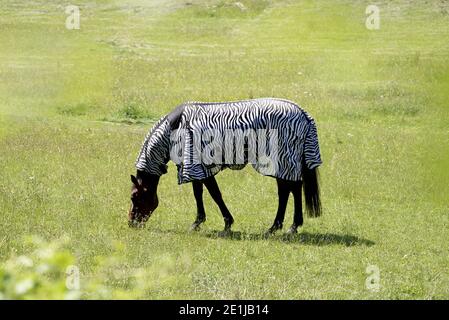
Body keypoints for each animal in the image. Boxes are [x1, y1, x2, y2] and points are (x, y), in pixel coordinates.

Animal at [128, 96, 320, 234]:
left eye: (134, 197)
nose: (131, 224)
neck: (174, 130)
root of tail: (303, 114)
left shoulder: (196, 164)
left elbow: (213, 194)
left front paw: (222, 223)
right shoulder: (199, 166)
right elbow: (202, 193)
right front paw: (203, 222)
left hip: (282, 159)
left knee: (291, 189)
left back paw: (288, 227)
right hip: (286, 162)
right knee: (290, 189)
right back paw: (281, 227)